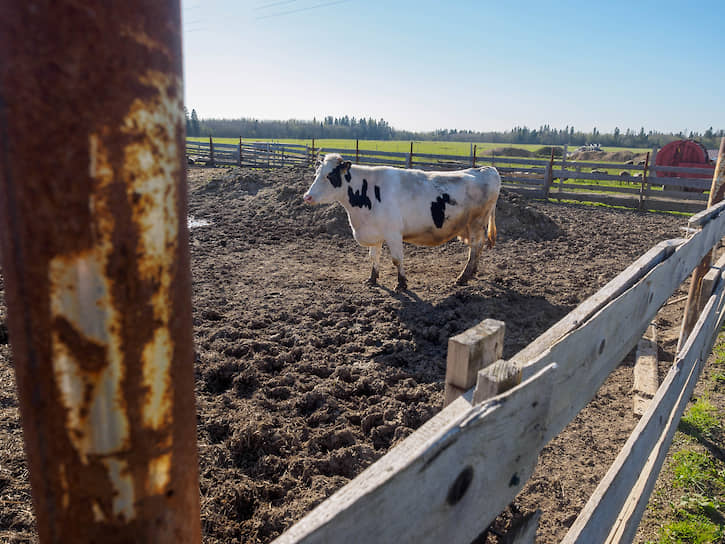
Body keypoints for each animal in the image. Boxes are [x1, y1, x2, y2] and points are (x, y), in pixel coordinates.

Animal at [302, 153, 500, 288]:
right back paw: (472, 272)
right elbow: (374, 257)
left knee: (475, 246)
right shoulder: (375, 232)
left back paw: (463, 277)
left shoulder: (393, 233)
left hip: (476, 222)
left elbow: (397, 259)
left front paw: (402, 283)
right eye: (316, 174)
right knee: (477, 248)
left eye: (330, 176)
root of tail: (485, 169)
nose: (307, 197)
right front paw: (372, 279)